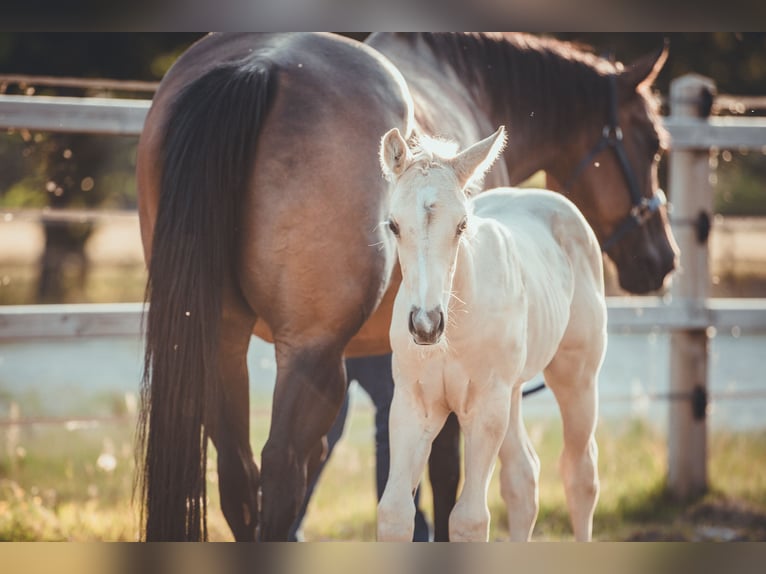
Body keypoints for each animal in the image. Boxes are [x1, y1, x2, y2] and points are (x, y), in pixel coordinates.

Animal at [376, 125, 606, 542]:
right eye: (394, 225)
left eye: (461, 226)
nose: (425, 324)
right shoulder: (414, 405)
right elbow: (395, 513)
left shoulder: (484, 406)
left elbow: (469, 519)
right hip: (512, 393)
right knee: (523, 478)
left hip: (576, 379)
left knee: (580, 473)